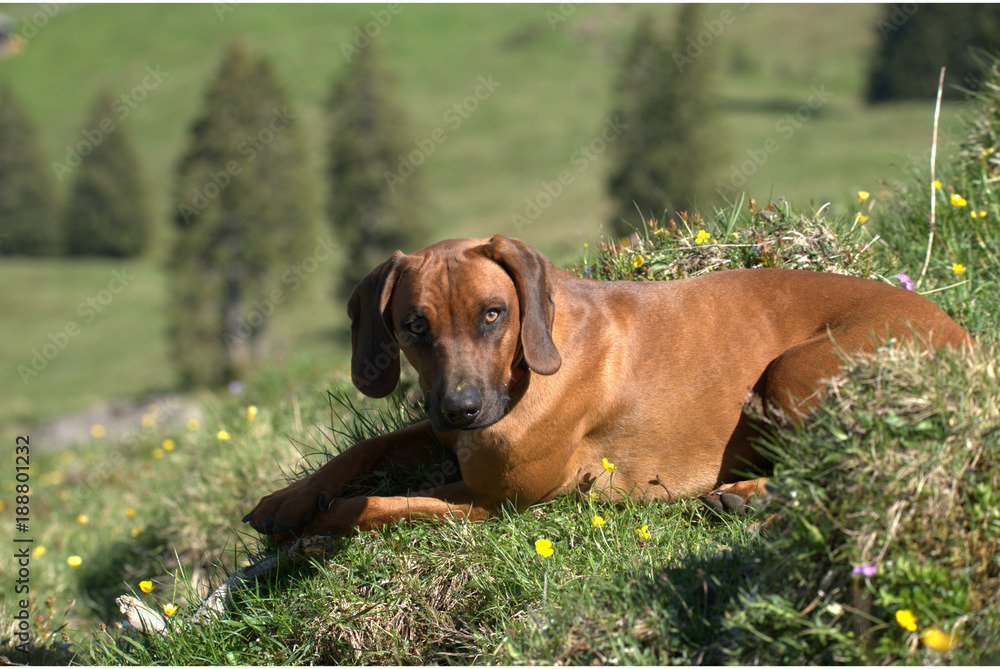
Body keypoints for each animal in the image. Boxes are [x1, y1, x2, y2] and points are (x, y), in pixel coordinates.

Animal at [246, 236, 972, 536]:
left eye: (493, 313)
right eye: (413, 325)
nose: (463, 407)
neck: (528, 368)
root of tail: (963, 335)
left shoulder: (498, 500)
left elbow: (385, 503)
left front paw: (323, 519)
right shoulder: (445, 434)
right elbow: (366, 449)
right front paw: (291, 497)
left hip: (793, 371)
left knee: (839, 464)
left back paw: (752, 497)